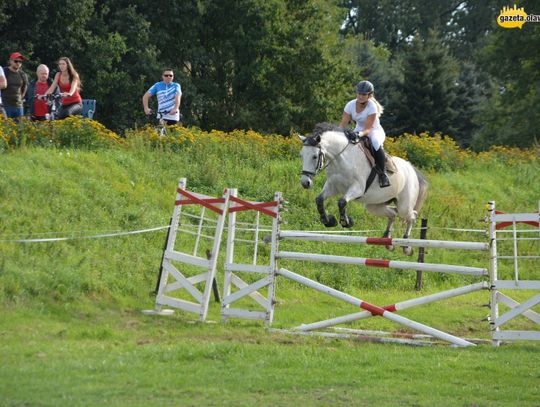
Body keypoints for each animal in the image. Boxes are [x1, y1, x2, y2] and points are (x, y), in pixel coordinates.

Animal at [298, 122, 428, 255]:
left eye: (314, 156)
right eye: (301, 155)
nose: (305, 183)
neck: (341, 159)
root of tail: (411, 168)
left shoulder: (357, 188)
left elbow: (342, 202)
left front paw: (346, 222)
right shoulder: (332, 186)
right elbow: (319, 199)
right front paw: (329, 221)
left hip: (404, 205)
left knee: (412, 216)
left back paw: (406, 246)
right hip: (374, 205)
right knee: (393, 213)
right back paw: (387, 240)